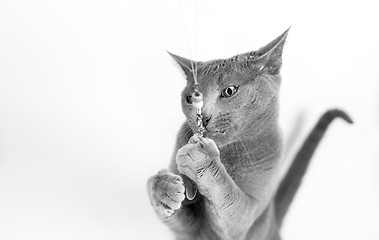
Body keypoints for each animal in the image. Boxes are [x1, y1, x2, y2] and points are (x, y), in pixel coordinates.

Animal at [146, 28, 354, 240]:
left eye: (229, 91)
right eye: (189, 98)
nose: (203, 117)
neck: (227, 154)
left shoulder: (246, 215)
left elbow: (228, 194)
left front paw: (202, 159)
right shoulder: (189, 230)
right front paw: (163, 187)